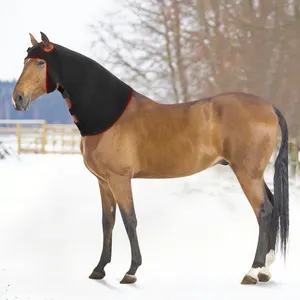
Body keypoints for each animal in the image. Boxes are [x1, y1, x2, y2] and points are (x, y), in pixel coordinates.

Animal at [12, 31, 290, 284]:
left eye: (40, 63)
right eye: (25, 61)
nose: (18, 98)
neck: (108, 115)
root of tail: (269, 107)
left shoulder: (119, 179)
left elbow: (129, 220)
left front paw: (131, 271)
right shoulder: (103, 181)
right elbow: (107, 222)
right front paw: (99, 269)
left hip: (246, 172)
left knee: (264, 211)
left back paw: (253, 271)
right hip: (253, 173)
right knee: (272, 207)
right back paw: (265, 270)